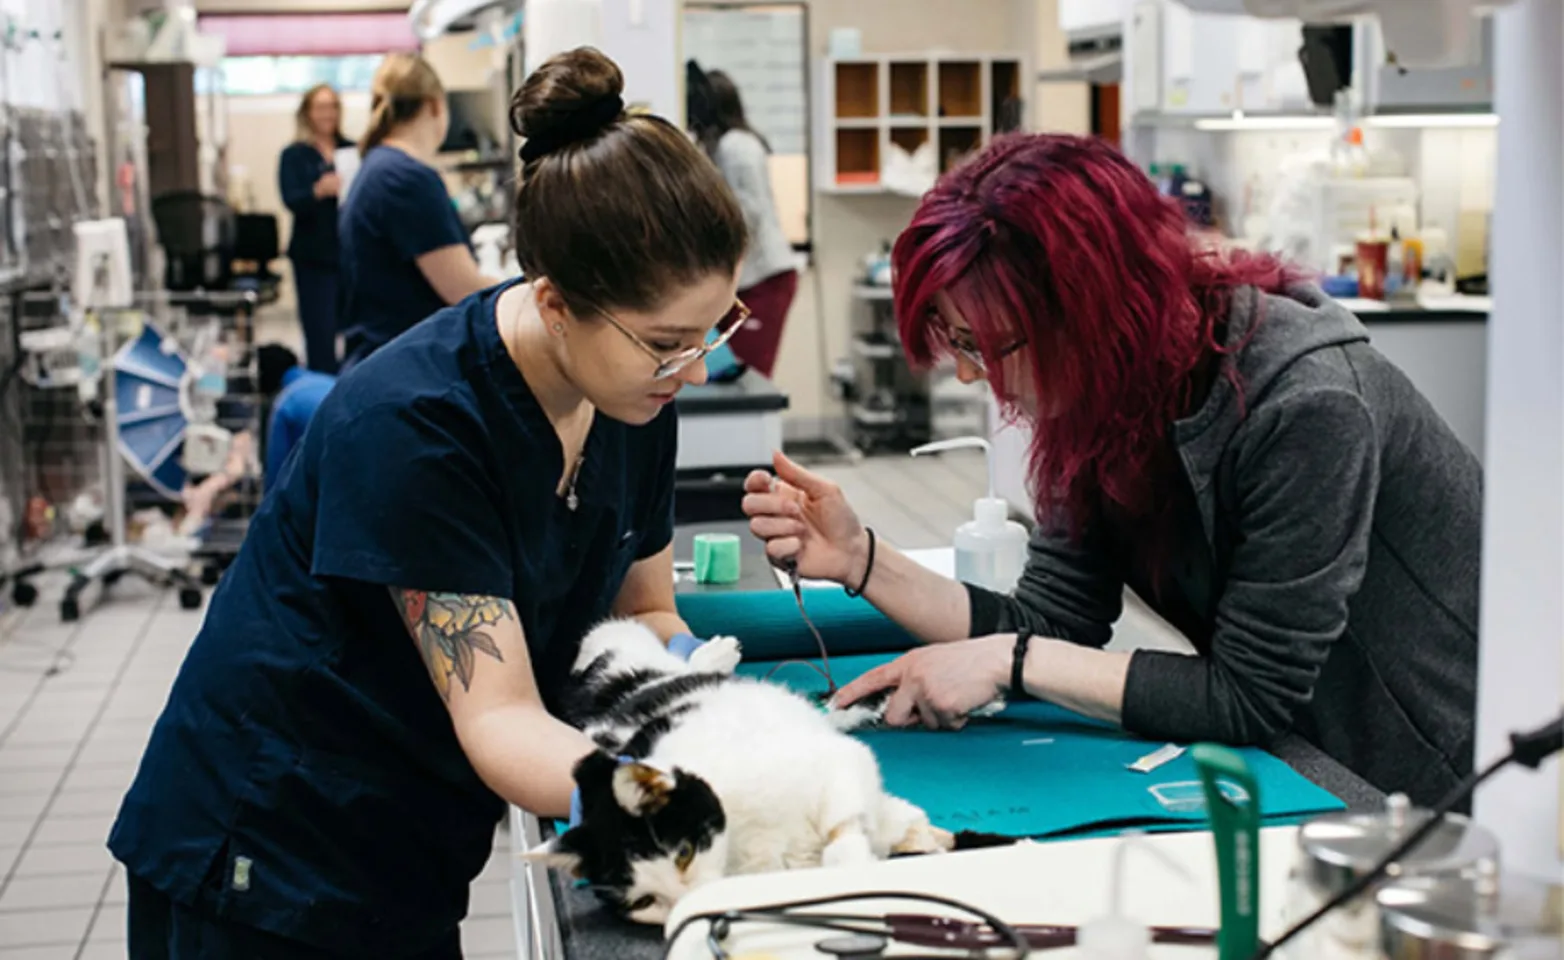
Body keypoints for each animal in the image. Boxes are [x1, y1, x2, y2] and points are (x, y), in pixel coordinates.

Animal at [525, 622, 950, 931]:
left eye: (684, 853)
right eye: (645, 902)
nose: (688, 903)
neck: (741, 845)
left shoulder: (838, 766)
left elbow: (846, 830)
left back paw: (716, 652)